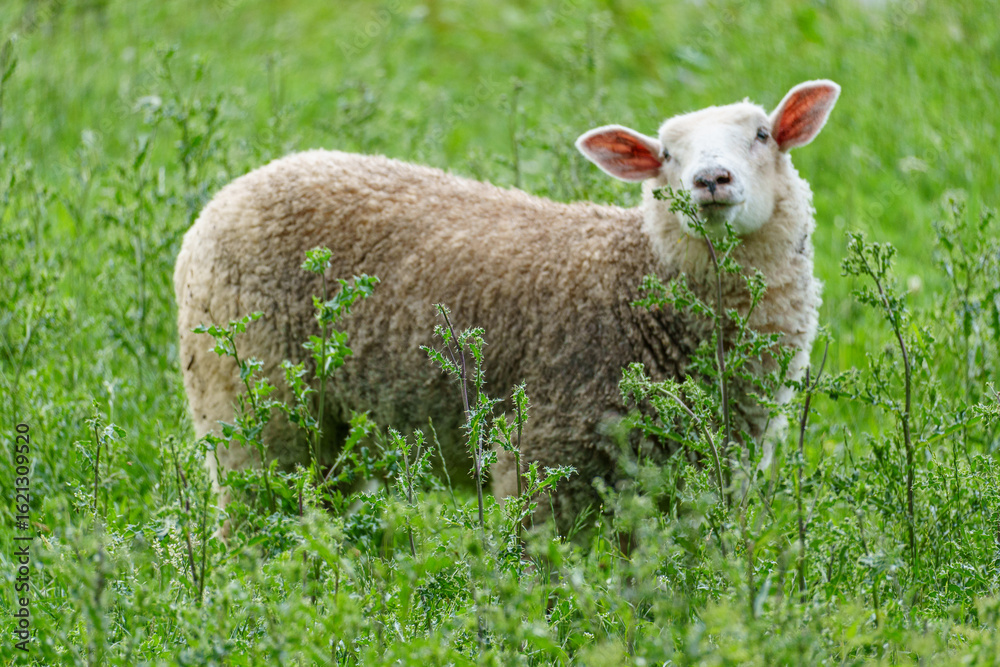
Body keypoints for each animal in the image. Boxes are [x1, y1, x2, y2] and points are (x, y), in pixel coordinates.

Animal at [174, 79, 840, 527]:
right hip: (249, 404)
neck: (636, 278)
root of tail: (232, 191)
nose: (710, 181)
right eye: (666, 156)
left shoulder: (700, 479)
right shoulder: (543, 451)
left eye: (763, 135)